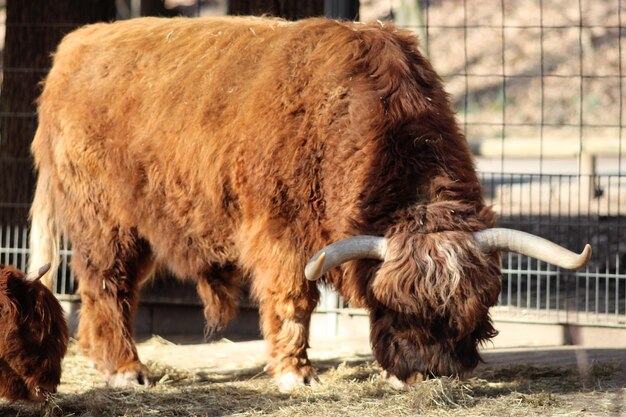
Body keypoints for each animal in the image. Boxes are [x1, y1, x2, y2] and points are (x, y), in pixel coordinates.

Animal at [26, 16, 588, 392]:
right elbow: (293, 302)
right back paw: (126, 370)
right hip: (104, 219)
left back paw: (102, 359)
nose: (432, 373)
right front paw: (296, 375)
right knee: (106, 285)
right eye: (398, 305)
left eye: (468, 308)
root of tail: (77, 43)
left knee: (109, 292)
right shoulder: (281, 234)